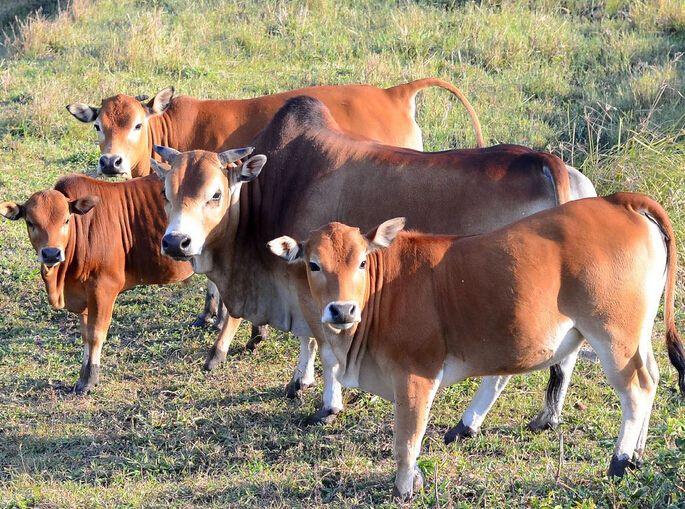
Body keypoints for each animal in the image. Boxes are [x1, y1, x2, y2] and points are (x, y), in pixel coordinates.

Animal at [0, 165, 262, 390]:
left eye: (66, 220)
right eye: (30, 222)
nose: (51, 253)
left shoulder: (104, 288)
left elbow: (96, 334)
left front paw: (89, 379)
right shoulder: (85, 294)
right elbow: (85, 335)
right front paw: (83, 376)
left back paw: (218, 353)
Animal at [151, 96, 600, 432]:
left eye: (214, 194)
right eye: (166, 192)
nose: (176, 241)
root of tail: (545, 163)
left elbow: (322, 346)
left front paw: (326, 402)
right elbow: (308, 341)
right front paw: (301, 381)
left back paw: (468, 422)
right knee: (565, 356)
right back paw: (547, 416)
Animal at [270, 192, 684, 498]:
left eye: (360, 262)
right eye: (313, 264)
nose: (342, 309)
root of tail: (619, 200)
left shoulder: (416, 374)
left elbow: (407, 438)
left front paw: (404, 487)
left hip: (613, 333)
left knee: (637, 389)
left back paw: (621, 460)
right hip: (636, 334)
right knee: (653, 376)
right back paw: (638, 454)